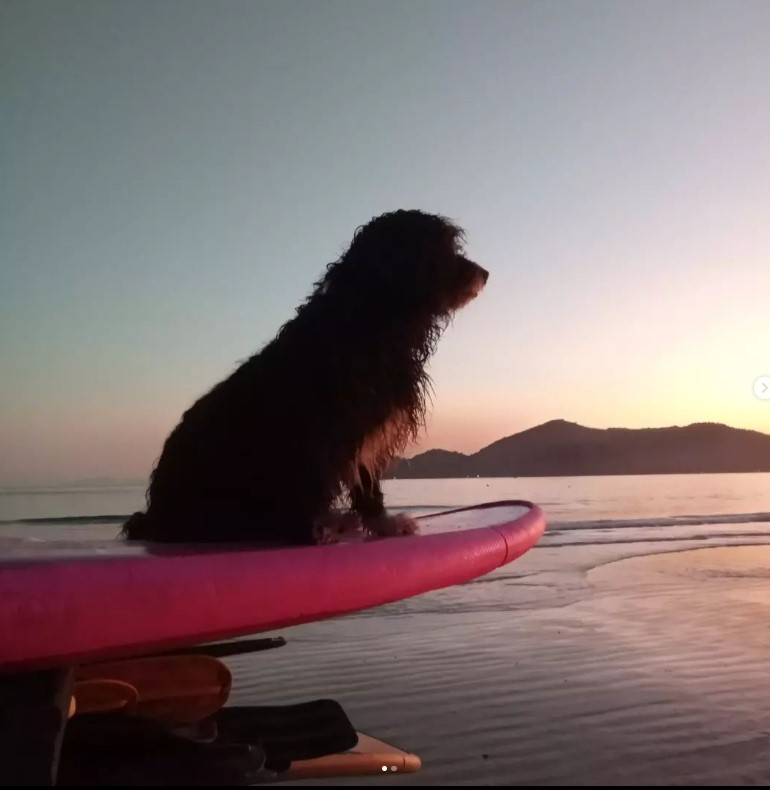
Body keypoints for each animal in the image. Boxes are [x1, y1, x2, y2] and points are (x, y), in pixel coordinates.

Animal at [123, 210, 488, 544]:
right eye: (440, 247)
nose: (484, 274)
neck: (371, 320)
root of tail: (153, 516)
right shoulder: (326, 431)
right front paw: (312, 530)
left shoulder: (366, 429)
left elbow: (367, 483)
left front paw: (382, 523)